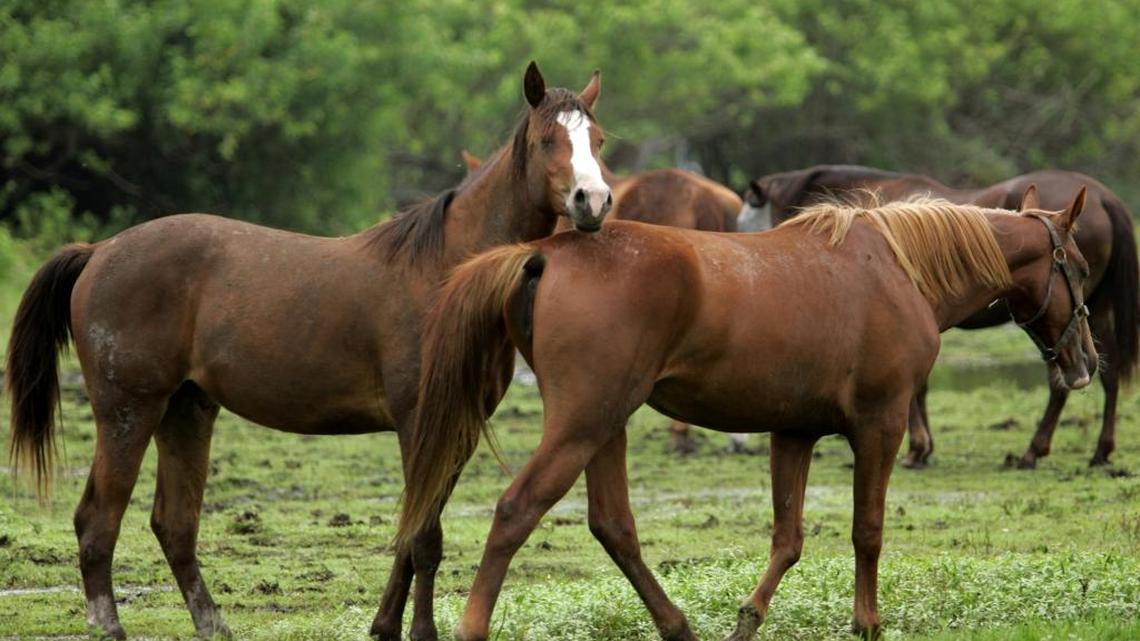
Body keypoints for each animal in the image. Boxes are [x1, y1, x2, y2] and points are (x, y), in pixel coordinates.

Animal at [4, 62, 611, 641]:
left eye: (599, 140)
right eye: (546, 140)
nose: (594, 201)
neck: (447, 272)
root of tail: (100, 250)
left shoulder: (454, 430)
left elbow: (413, 534)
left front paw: (385, 626)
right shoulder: (419, 423)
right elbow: (423, 538)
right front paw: (419, 631)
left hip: (185, 410)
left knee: (173, 525)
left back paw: (212, 623)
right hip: (128, 411)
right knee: (97, 519)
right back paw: (107, 624)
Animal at [396, 189, 1095, 640]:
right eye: (1082, 268)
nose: (1086, 361)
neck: (898, 268)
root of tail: (545, 252)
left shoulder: (794, 433)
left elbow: (788, 539)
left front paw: (747, 620)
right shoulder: (881, 426)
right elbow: (866, 531)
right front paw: (866, 622)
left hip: (605, 427)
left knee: (613, 526)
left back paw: (677, 625)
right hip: (582, 425)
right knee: (517, 511)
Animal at [741, 165, 1137, 469]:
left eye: (745, 221)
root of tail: (1106, 197)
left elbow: (917, 389)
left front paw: (917, 449)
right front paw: (924, 447)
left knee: (1063, 382)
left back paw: (1034, 451)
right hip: (1097, 313)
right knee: (1108, 372)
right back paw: (1101, 450)